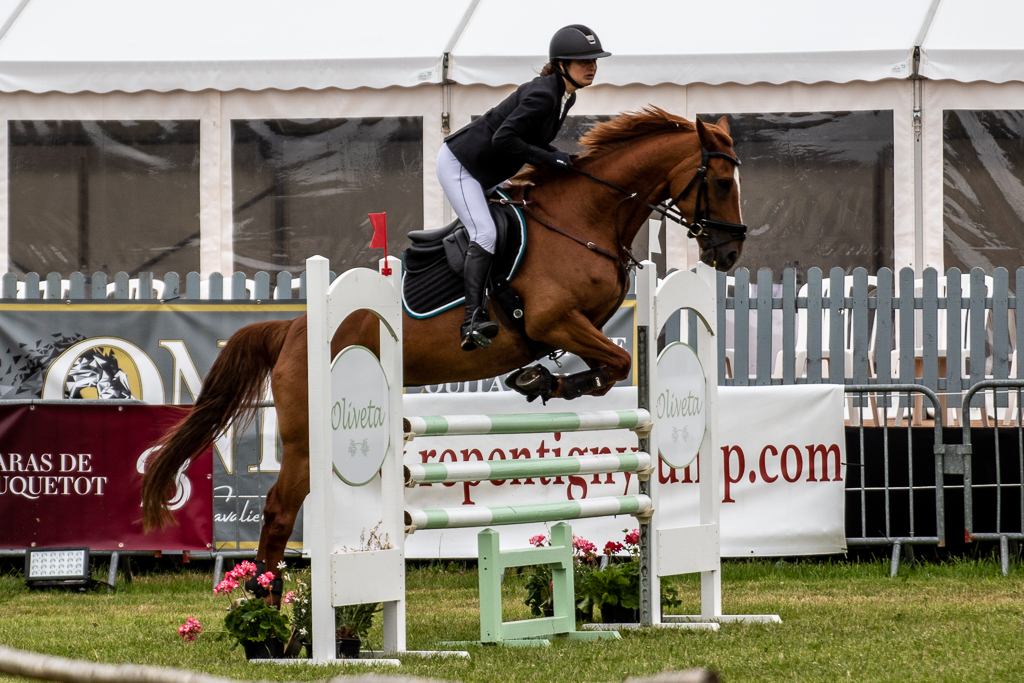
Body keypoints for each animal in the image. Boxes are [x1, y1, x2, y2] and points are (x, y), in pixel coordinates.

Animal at [141, 107, 746, 599]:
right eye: (720, 181)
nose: (730, 252)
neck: (583, 219)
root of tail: (292, 328)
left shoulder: (580, 325)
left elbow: (607, 363)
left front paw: (541, 380)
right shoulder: (553, 319)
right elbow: (614, 363)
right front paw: (544, 381)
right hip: (307, 441)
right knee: (277, 512)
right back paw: (268, 613)